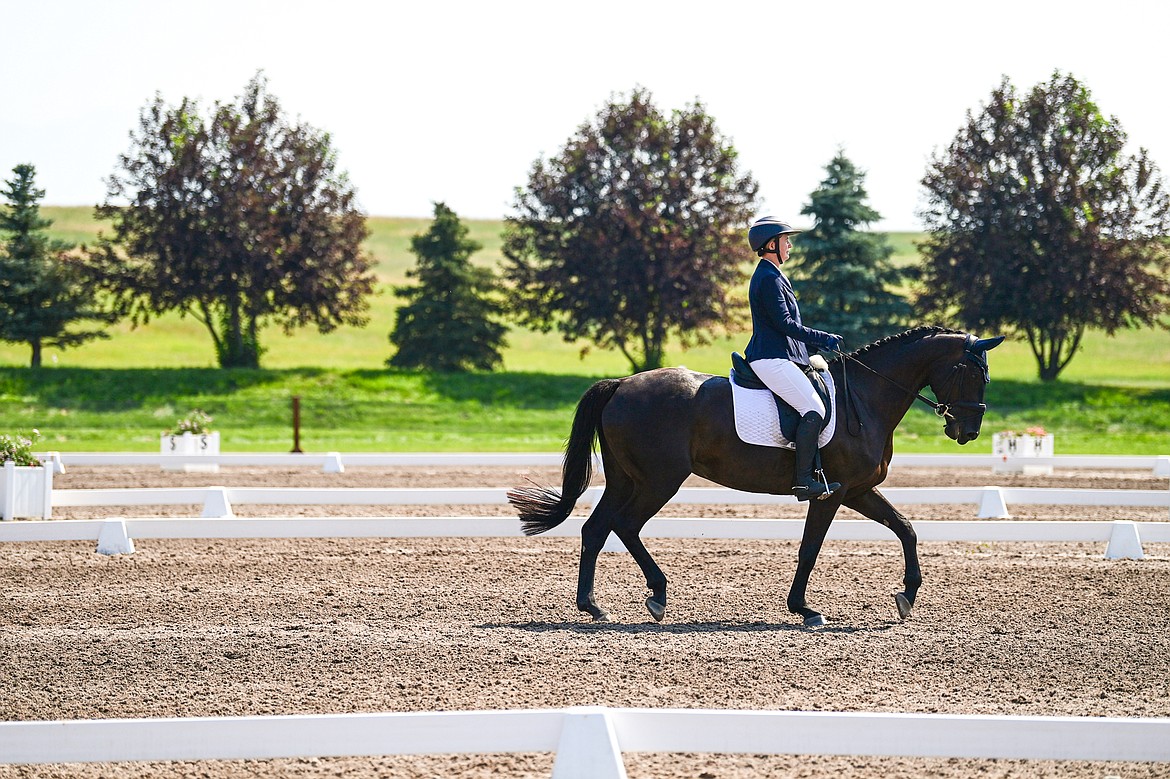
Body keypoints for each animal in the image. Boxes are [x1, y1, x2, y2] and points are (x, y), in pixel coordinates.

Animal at [507, 322, 1001, 626]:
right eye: (972, 372)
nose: (968, 431)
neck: (865, 397)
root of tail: (621, 384)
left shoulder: (859, 490)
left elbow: (906, 528)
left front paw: (907, 596)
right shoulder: (831, 492)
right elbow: (809, 549)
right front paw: (805, 609)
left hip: (628, 479)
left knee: (598, 528)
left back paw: (596, 606)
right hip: (658, 480)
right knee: (623, 525)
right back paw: (654, 596)